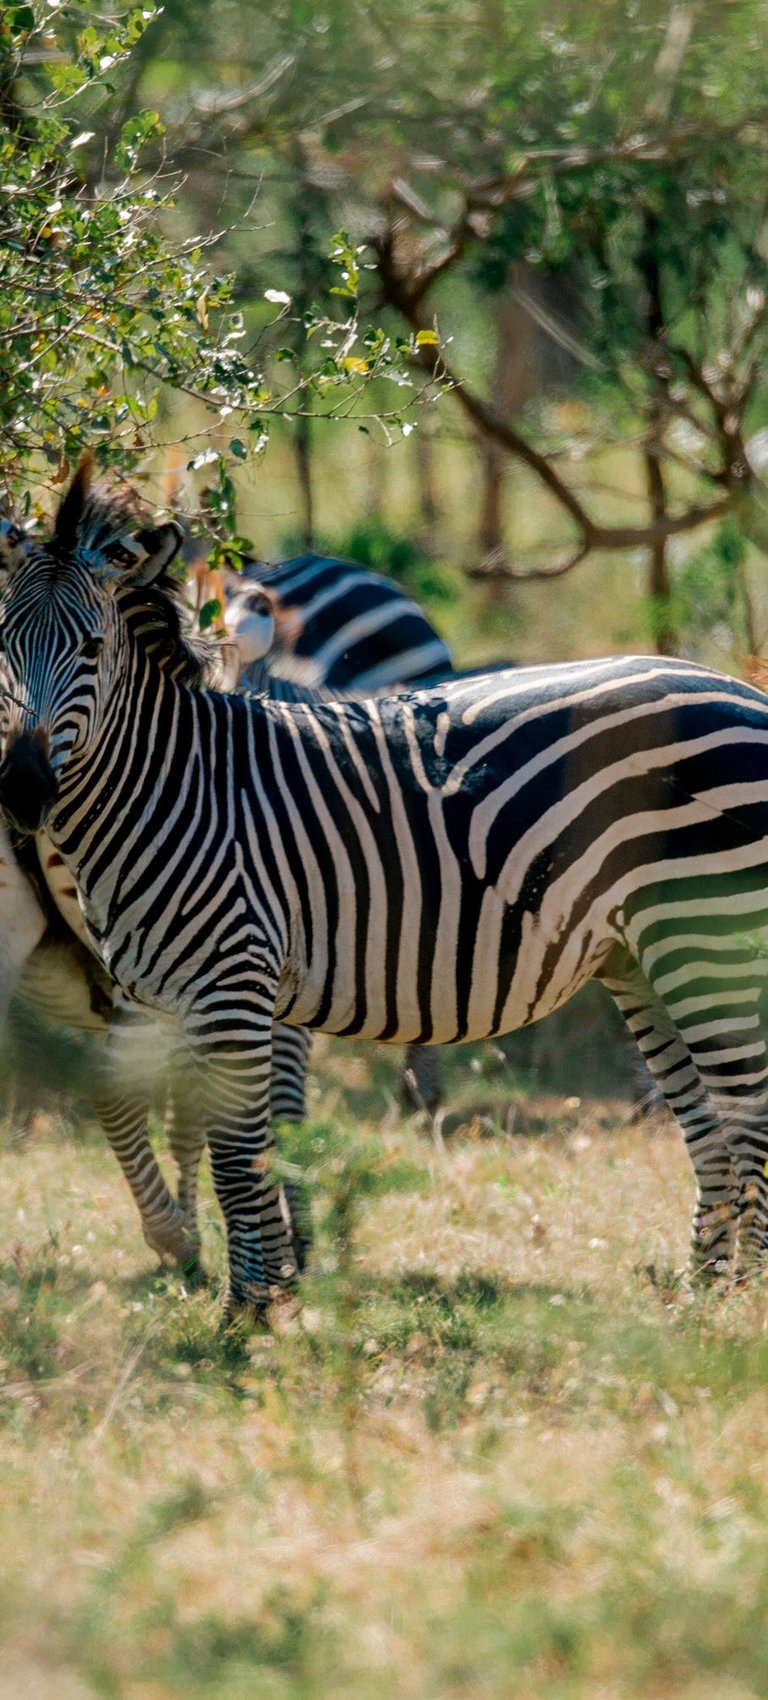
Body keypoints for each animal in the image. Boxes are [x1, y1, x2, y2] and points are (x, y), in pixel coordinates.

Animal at [3, 467, 768, 1315]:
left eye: (91, 647)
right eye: (3, 643)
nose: (21, 790)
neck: (172, 787)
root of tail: (737, 689)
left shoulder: (232, 985)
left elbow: (240, 1155)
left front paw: (248, 1311)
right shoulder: (177, 994)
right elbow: (211, 1133)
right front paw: (248, 1288)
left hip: (705, 934)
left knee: (749, 1118)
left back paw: (744, 1303)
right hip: (644, 955)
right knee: (707, 1122)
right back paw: (704, 1296)